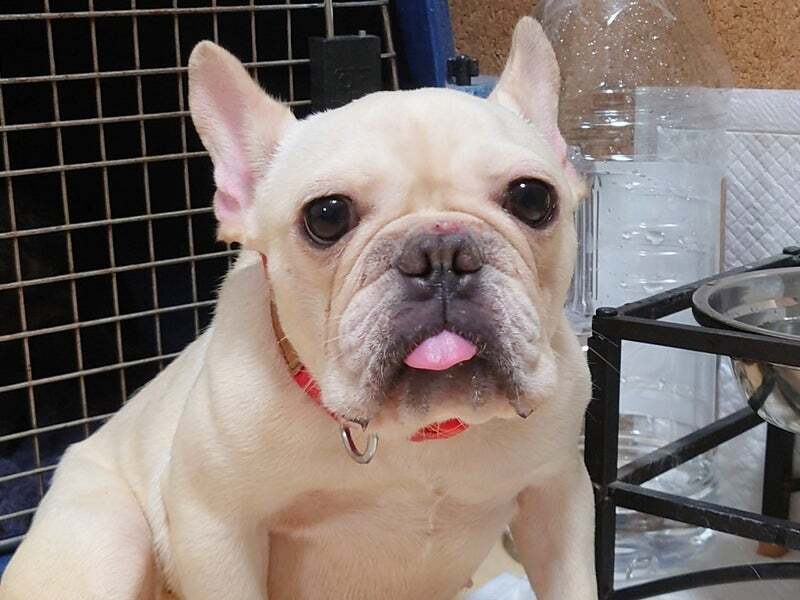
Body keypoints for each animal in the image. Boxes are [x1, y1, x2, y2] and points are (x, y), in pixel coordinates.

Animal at [0, 17, 596, 600]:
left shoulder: (557, 498)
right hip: (108, 541)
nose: (440, 253)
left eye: (533, 198)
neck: (415, 434)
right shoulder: (215, 529)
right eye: (326, 216)